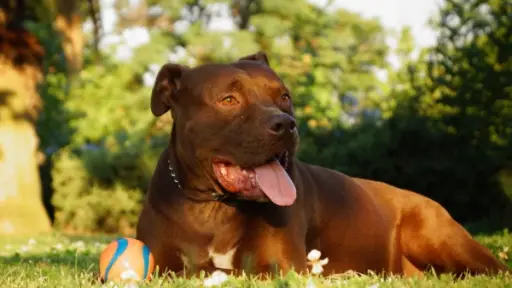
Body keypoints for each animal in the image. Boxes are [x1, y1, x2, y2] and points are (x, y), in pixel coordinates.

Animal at [135, 51, 508, 276]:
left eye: (284, 96)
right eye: (228, 99)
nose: (285, 124)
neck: (214, 208)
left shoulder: (280, 267)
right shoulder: (159, 265)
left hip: (440, 237)